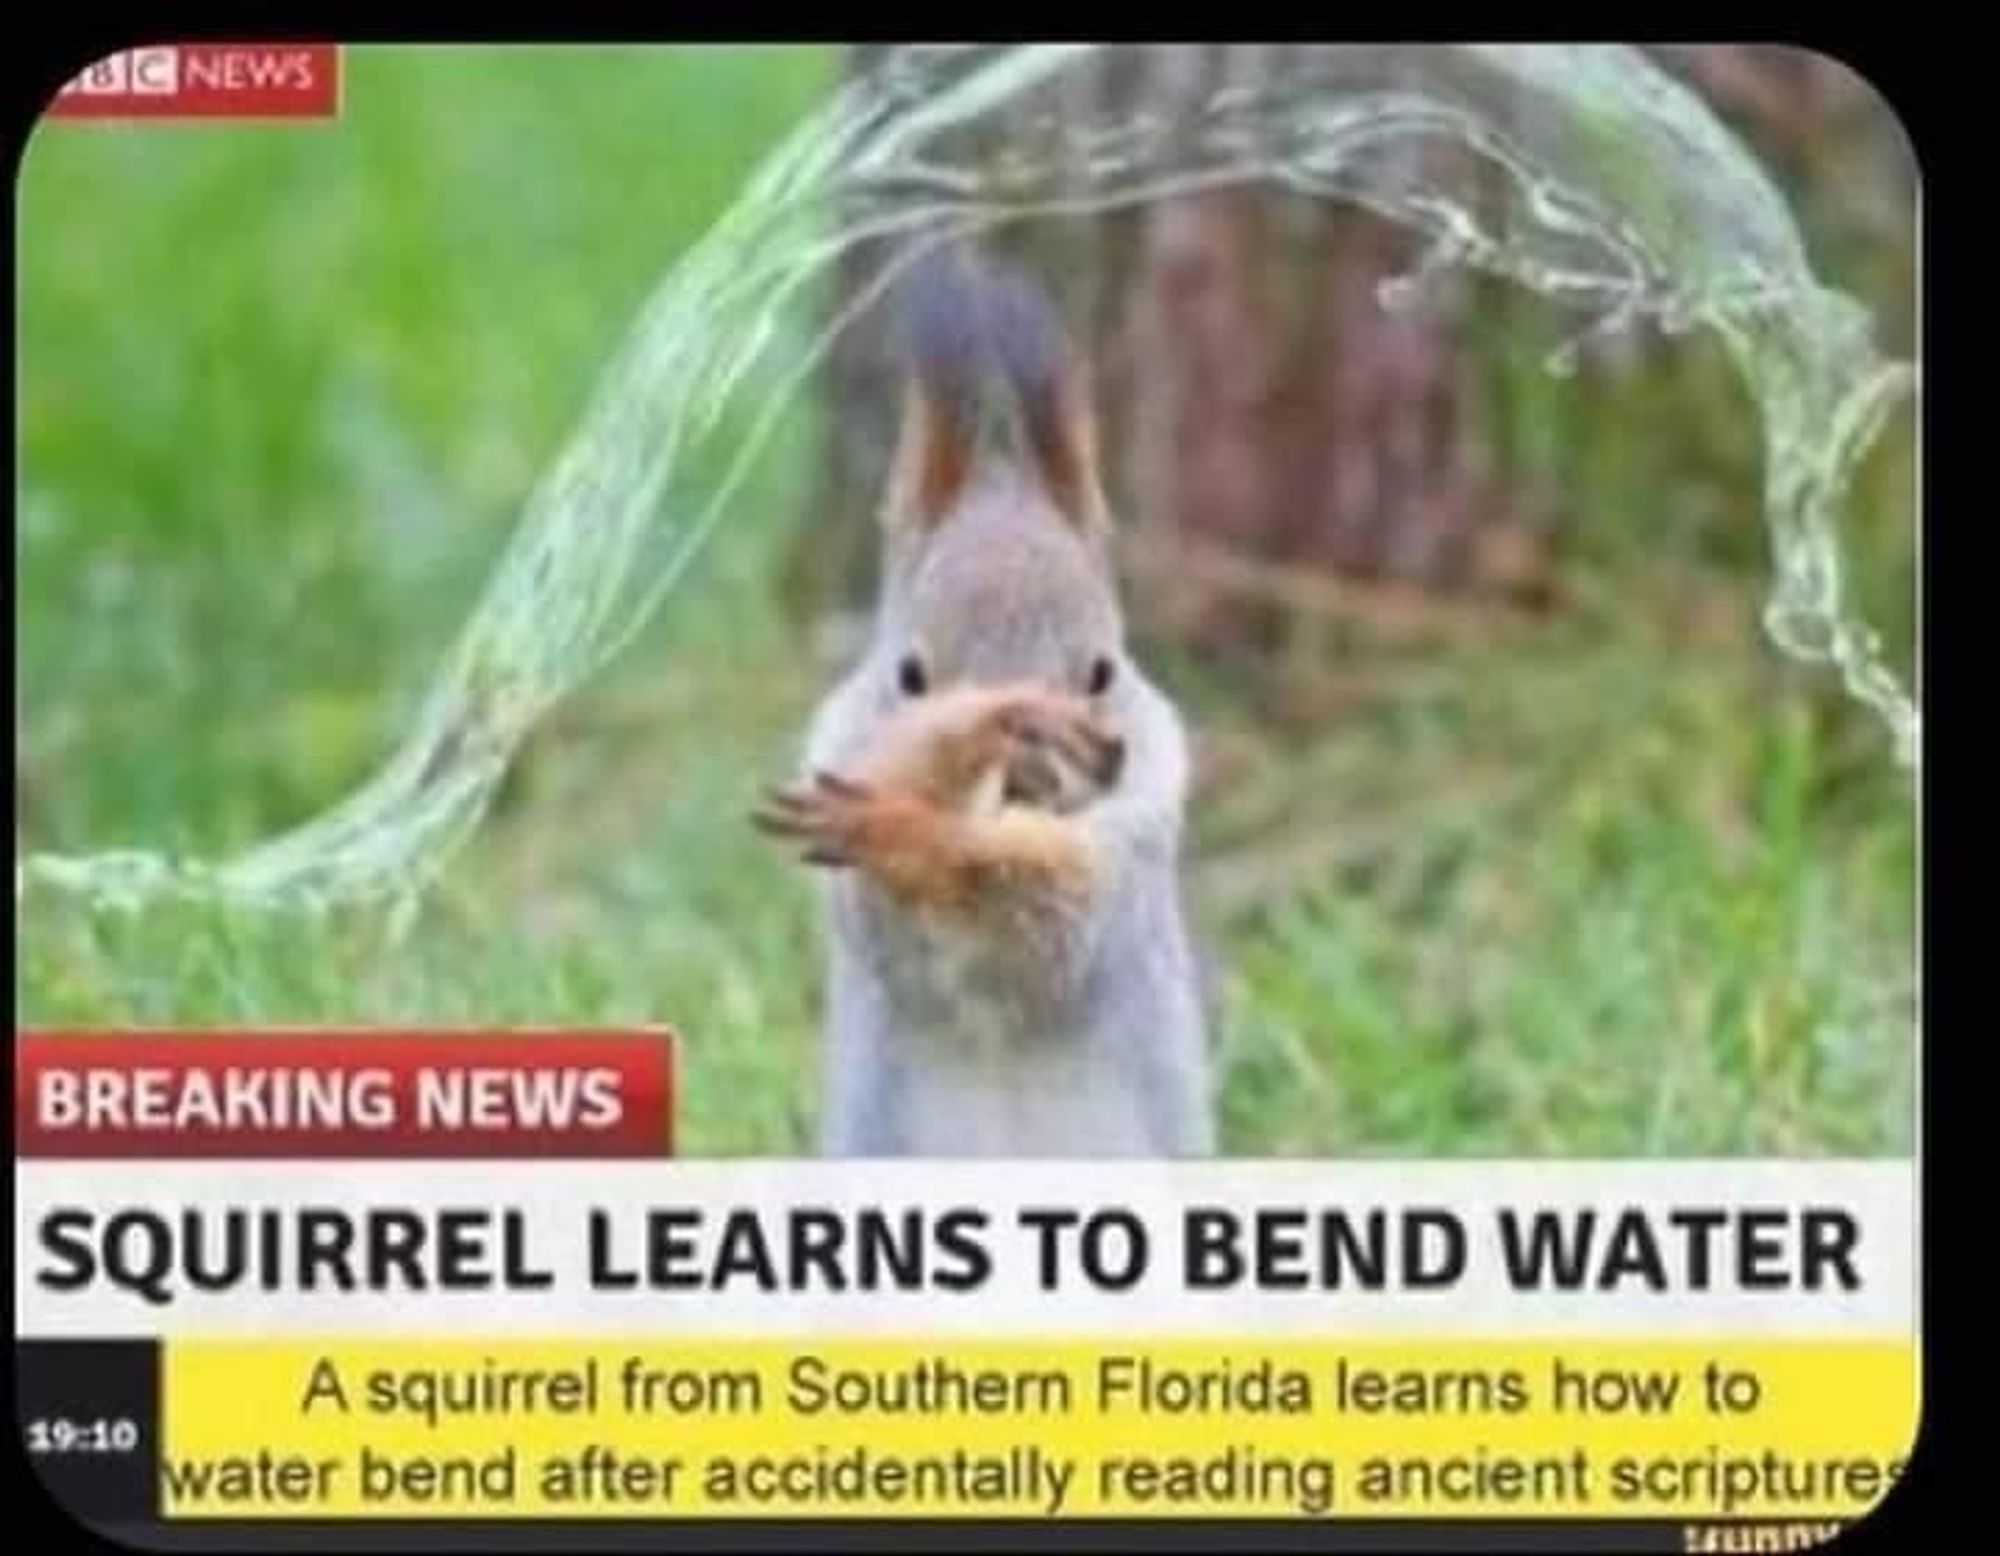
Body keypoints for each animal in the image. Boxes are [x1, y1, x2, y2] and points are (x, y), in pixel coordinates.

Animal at [752, 249, 1208, 1160]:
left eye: (1102, 672)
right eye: (908, 674)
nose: (1030, 769)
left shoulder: (1134, 852)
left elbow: (1047, 931)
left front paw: (911, 828)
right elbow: (886, 929)